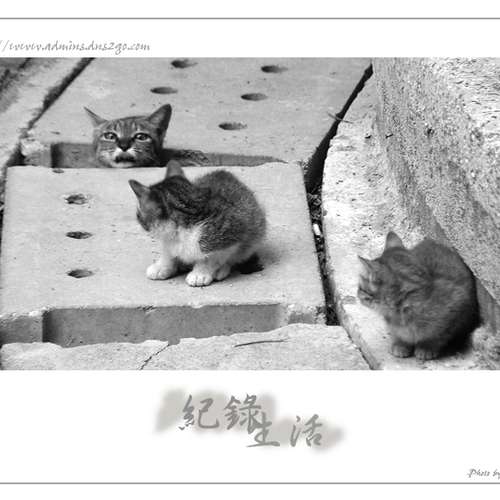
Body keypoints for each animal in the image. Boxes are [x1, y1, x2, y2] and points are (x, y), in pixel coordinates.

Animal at [128, 161, 267, 287]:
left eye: (138, 215)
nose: (138, 219)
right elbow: (168, 252)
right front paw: (163, 266)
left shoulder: (234, 232)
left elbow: (213, 257)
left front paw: (200, 273)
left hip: (256, 229)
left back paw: (221, 270)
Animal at [357, 231, 479, 360]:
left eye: (361, 288)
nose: (357, 294)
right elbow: (398, 333)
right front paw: (401, 344)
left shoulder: (459, 306)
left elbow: (438, 336)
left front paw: (426, 347)